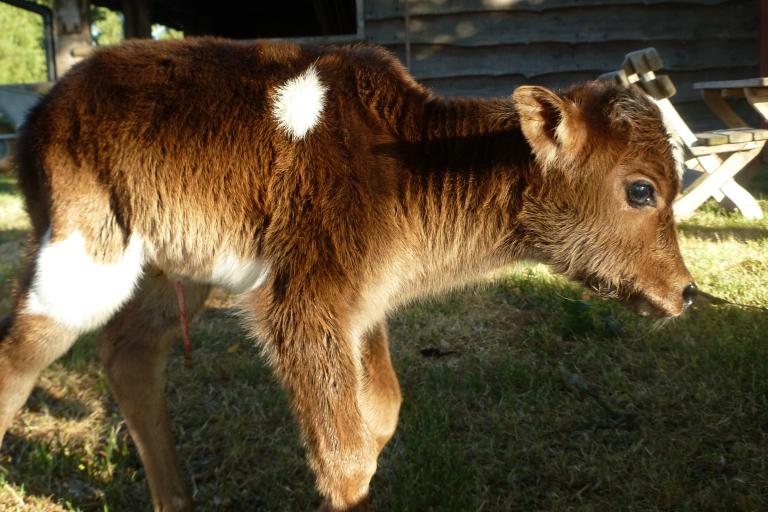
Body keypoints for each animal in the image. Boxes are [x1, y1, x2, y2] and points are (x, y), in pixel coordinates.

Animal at [0, 38, 696, 510]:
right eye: (641, 190)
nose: (686, 293)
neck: (411, 163)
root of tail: (38, 116)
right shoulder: (302, 301)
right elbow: (345, 456)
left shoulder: (364, 301)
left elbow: (382, 411)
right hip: (82, 242)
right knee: (25, 351)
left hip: (175, 264)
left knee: (129, 351)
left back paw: (176, 500)